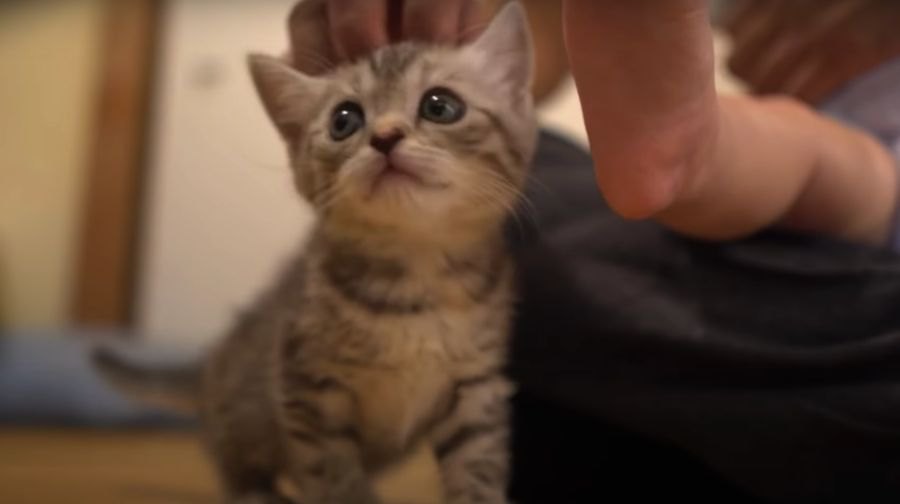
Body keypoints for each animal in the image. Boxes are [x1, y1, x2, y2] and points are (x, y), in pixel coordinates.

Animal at [97, 4, 536, 504]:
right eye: (344, 120)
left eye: (440, 106)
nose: (385, 136)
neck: (416, 275)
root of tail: (208, 367)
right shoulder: (305, 386)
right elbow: (334, 476)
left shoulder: (478, 389)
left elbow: (478, 467)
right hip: (247, 412)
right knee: (233, 462)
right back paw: (258, 492)